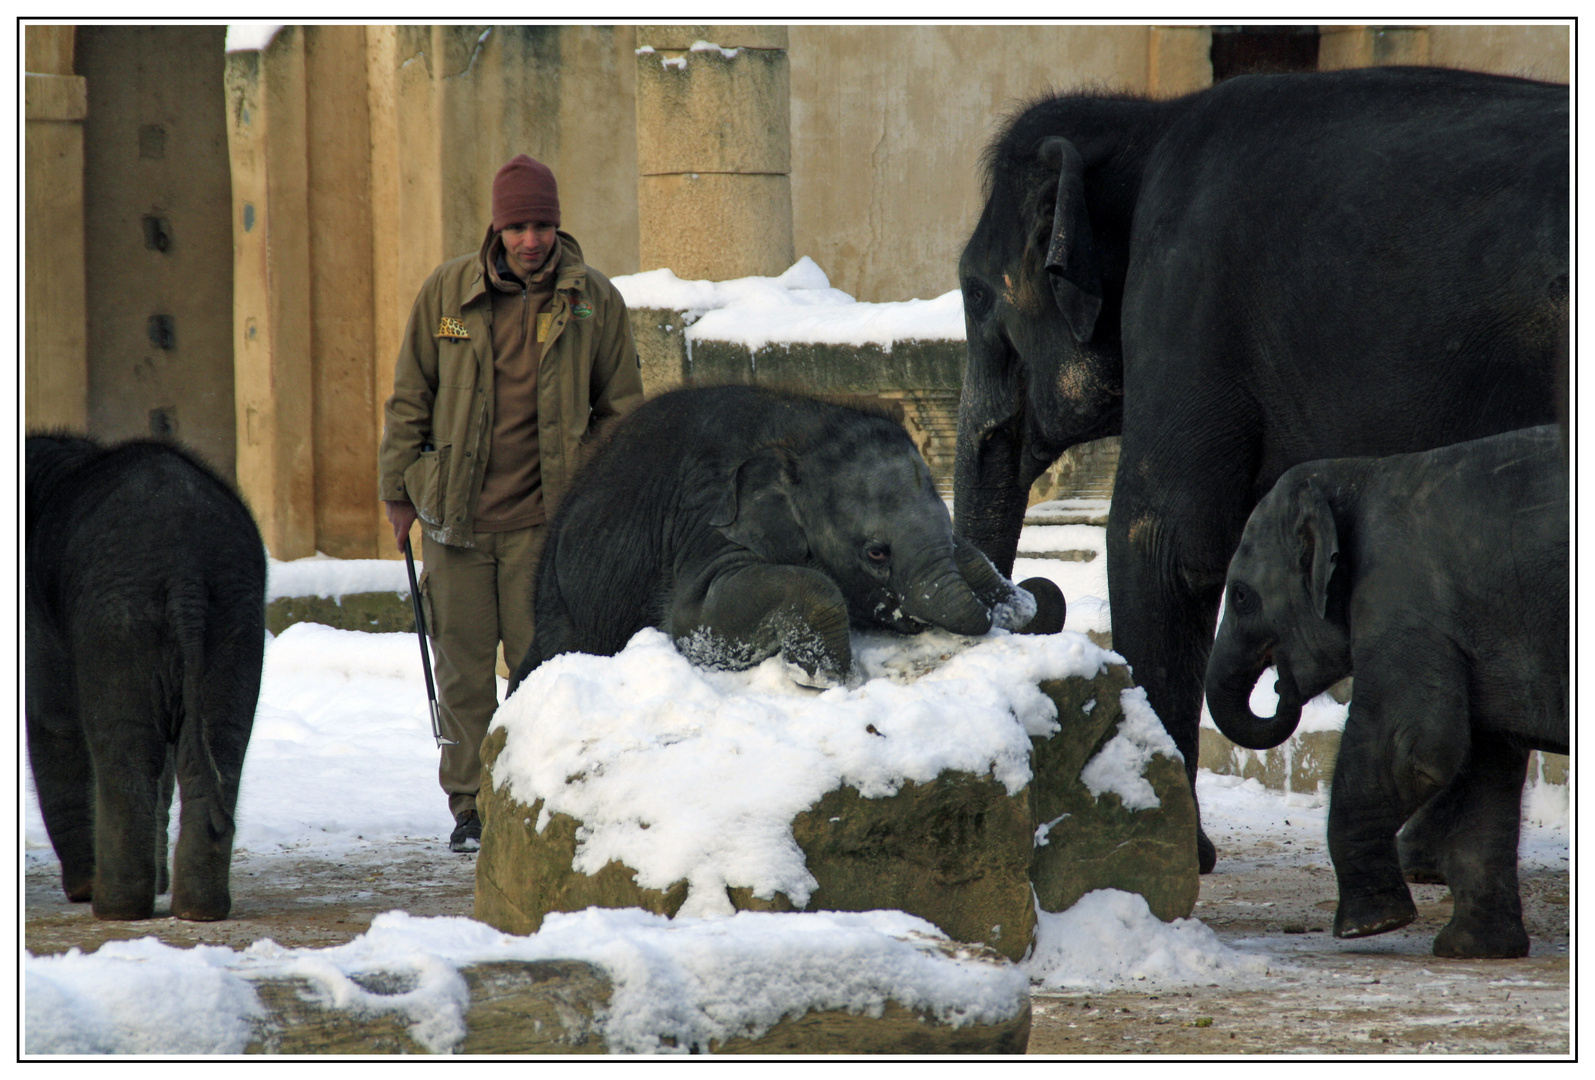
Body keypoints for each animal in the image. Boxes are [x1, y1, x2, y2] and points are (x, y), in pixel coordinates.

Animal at [25, 433, 264, 925]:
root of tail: (186, 568)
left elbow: (53, 721)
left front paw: (81, 890)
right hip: (236, 612)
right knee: (217, 743)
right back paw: (198, 909)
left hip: (116, 617)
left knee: (124, 745)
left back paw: (112, 907)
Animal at [510, 387, 1059, 692]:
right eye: (875, 553)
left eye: (947, 528)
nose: (1017, 604)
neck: (807, 430)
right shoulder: (707, 522)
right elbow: (693, 619)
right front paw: (826, 676)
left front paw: (1019, 604)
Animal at [950, 65, 1563, 874]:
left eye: (977, 295)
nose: (1042, 591)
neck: (1143, 122)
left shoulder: (1184, 303)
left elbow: (1165, 542)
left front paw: (1178, 856)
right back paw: (1427, 859)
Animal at [1199, 424, 1563, 957]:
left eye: (1242, 596)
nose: (1281, 687)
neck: (1359, 472)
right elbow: (1485, 767)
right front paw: (1472, 949)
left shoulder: (1403, 604)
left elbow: (1409, 750)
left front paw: (1370, 926)